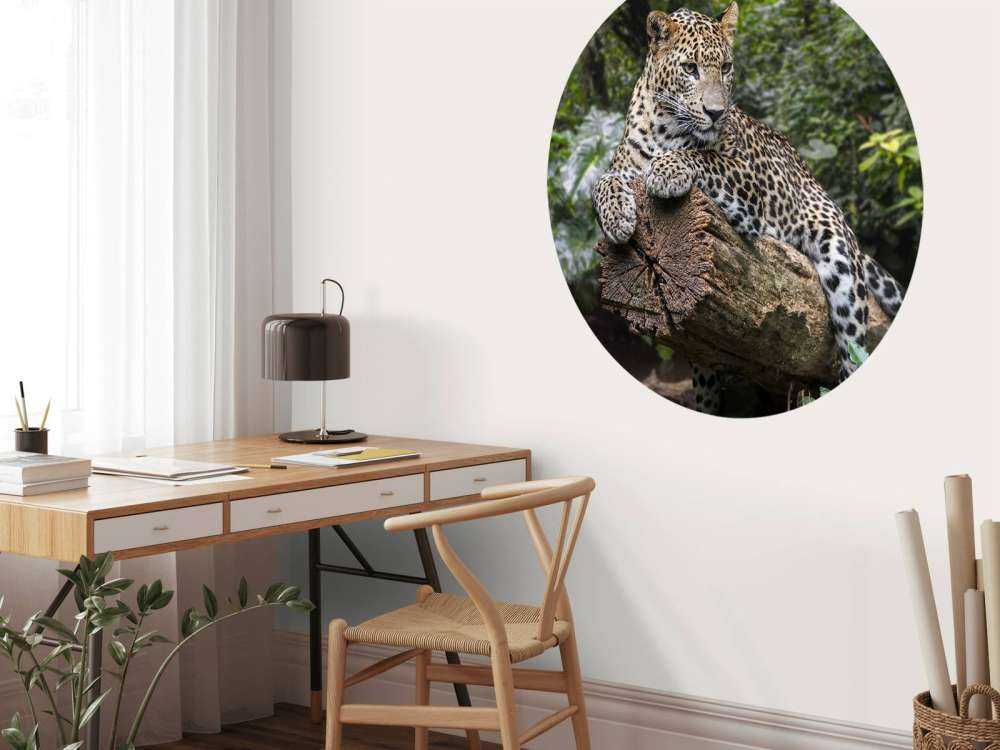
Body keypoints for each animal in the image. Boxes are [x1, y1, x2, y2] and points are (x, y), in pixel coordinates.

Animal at [591, 3, 905, 415]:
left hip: (840, 261)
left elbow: (703, 157)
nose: (715, 112)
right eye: (690, 68)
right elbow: (603, 181)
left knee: (853, 347)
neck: (665, 129)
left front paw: (667, 170)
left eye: (725, 67)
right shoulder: (623, 167)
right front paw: (617, 216)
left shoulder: (746, 183)